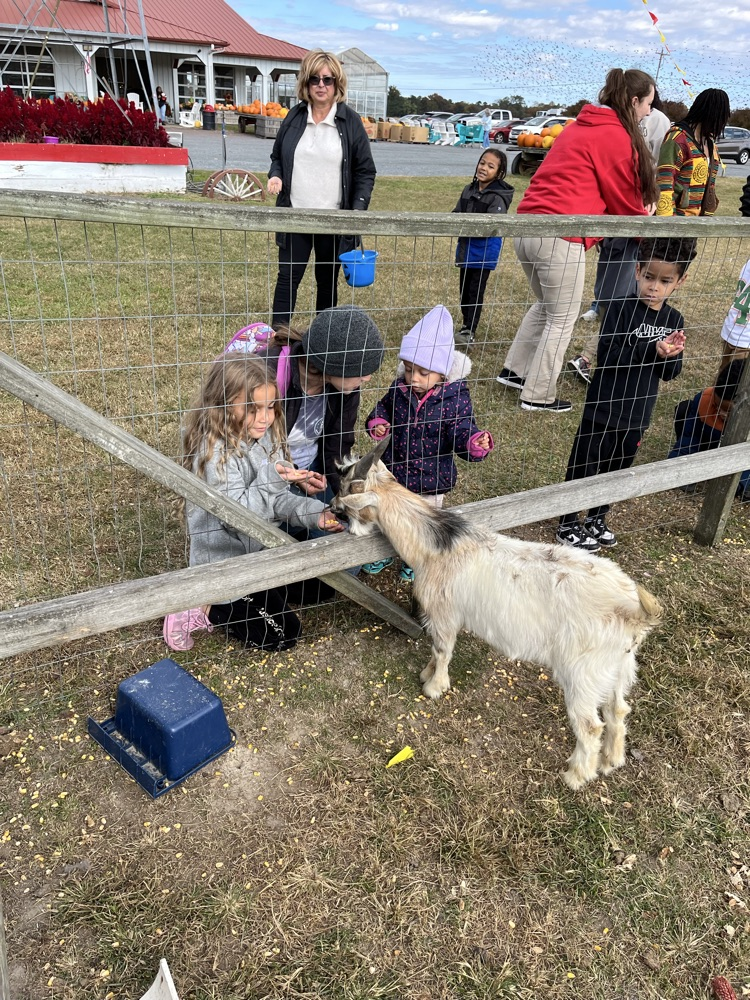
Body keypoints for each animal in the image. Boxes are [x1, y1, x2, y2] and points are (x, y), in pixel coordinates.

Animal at [332, 439, 662, 789]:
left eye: (345, 490)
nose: (333, 507)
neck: (436, 546)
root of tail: (632, 610)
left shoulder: (444, 612)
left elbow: (442, 649)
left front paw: (434, 686)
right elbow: (436, 649)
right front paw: (426, 673)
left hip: (583, 672)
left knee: (590, 725)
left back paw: (576, 775)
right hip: (618, 666)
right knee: (618, 709)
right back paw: (613, 760)